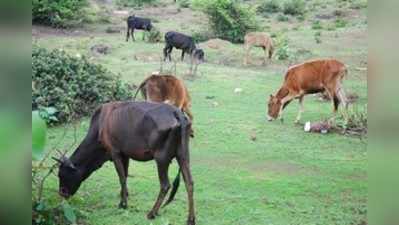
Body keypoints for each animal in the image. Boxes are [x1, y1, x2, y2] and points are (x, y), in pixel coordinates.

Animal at [54, 101, 196, 225]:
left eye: (61, 174)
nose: (62, 193)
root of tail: (176, 112)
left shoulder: (114, 151)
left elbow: (121, 177)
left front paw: (123, 204)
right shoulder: (125, 154)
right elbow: (126, 175)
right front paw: (124, 194)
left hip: (161, 157)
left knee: (165, 185)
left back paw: (152, 213)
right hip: (183, 155)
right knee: (189, 182)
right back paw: (191, 219)